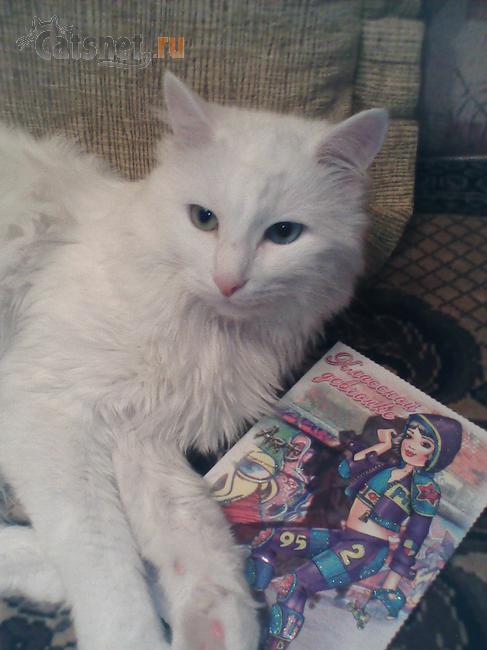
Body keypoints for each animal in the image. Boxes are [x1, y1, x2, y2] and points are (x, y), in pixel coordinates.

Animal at [0, 72, 387, 650]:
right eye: (203, 220)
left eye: (284, 234)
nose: (229, 281)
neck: (208, 331)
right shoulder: (48, 409)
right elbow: (103, 559)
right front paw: (132, 633)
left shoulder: (142, 434)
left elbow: (196, 534)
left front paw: (216, 625)